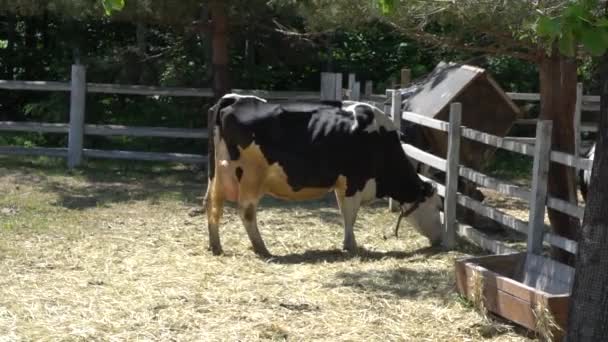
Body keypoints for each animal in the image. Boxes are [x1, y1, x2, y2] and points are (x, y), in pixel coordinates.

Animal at [204, 93, 442, 256]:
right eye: (436, 207)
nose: (438, 239)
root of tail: (233, 99)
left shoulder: (341, 184)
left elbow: (345, 213)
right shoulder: (354, 182)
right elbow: (350, 215)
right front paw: (351, 246)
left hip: (215, 175)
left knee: (211, 204)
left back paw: (215, 246)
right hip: (251, 176)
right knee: (246, 210)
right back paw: (261, 248)